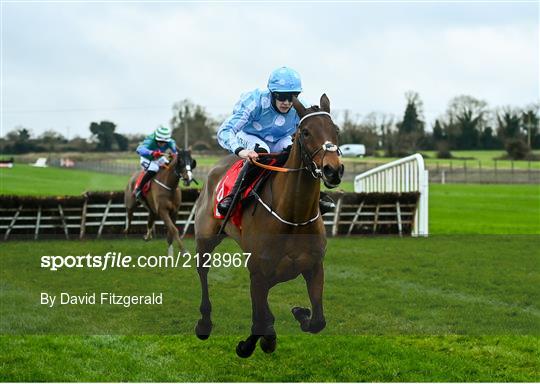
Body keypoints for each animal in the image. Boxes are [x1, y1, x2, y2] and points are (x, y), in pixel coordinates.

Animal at [192, 95, 342, 356]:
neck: (294, 218)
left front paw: (300, 312)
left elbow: (317, 321)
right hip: (206, 238)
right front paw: (250, 344)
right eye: (305, 132)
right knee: (203, 271)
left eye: (336, 130)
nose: (333, 170)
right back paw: (204, 322)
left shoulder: (314, 266)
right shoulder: (258, 273)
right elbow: (264, 321)